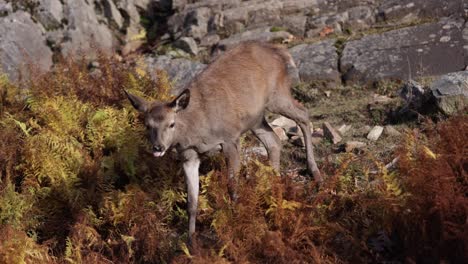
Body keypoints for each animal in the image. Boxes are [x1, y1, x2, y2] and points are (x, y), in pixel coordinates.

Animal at [124, 40, 322, 239]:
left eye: (171, 124)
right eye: (147, 125)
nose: (158, 147)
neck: (197, 130)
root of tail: (279, 51)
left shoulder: (230, 138)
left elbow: (232, 186)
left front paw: (235, 221)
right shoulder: (189, 156)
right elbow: (192, 202)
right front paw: (191, 239)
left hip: (277, 95)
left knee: (303, 114)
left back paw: (315, 173)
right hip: (256, 118)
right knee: (273, 141)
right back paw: (273, 188)